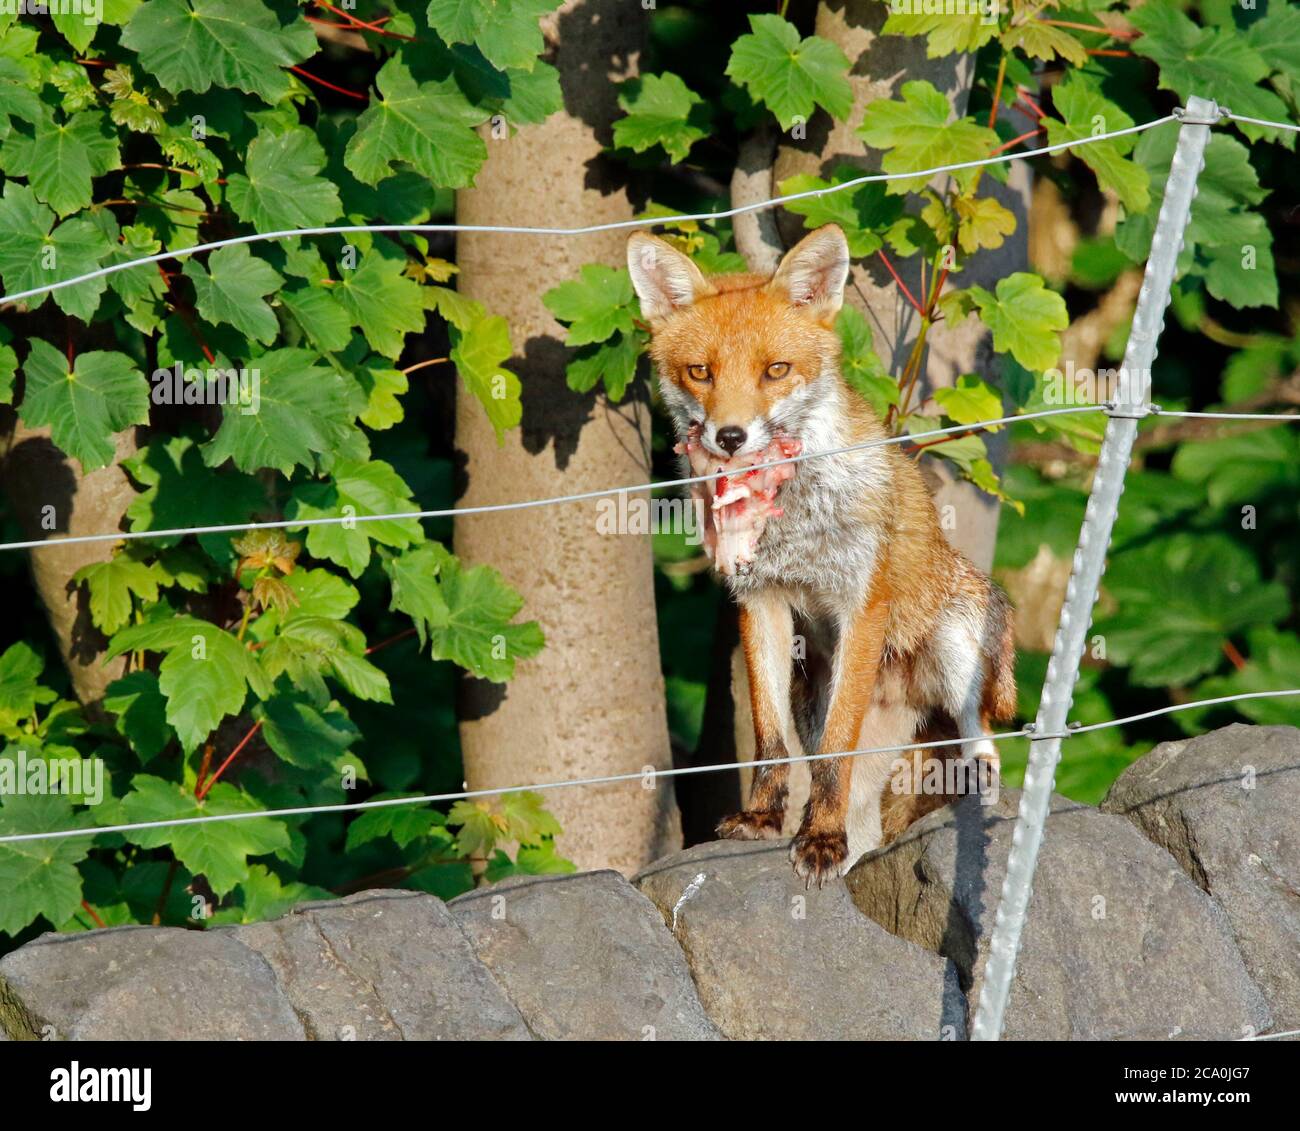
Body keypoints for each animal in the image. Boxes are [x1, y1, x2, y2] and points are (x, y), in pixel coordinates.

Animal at [627, 223, 1017, 885]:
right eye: (701, 372)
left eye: (775, 370)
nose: (729, 437)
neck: (794, 523)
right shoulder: (760, 602)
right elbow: (769, 739)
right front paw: (763, 818)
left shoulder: (861, 606)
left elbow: (837, 750)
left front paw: (820, 840)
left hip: (957, 641)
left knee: (977, 731)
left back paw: (979, 776)